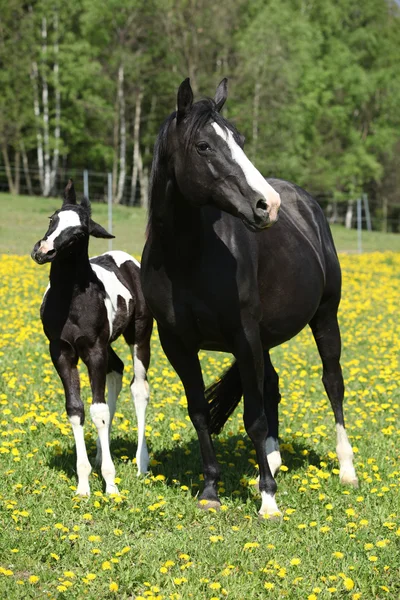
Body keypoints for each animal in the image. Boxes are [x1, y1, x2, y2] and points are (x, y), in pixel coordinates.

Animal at [30, 182, 152, 496]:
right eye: (52, 218)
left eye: (79, 234)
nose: (42, 251)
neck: (71, 302)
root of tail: (126, 259)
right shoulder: (61, 353)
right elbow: (77, 410)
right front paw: (83, 485)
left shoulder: (94, 351)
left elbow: (98, 411)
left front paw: (110, 485)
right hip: (107, 347)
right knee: (116, 371)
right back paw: (100, 453)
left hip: (140, 337)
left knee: (139, 388)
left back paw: (141, 463)